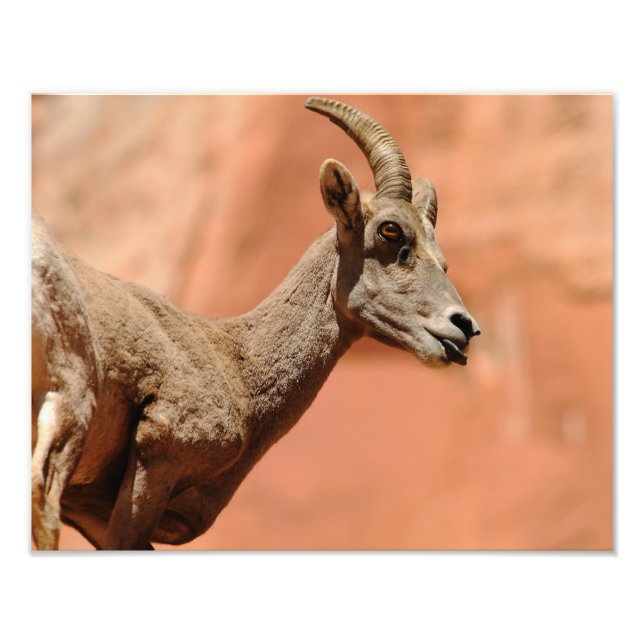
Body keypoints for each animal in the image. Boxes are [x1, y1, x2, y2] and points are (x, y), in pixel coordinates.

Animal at [31, 96, 480, 550]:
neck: (238, 366)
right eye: (390, 230)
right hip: (67, 414)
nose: (464, 327)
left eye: (442, 257)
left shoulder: (93, 512)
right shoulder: (156, 458)